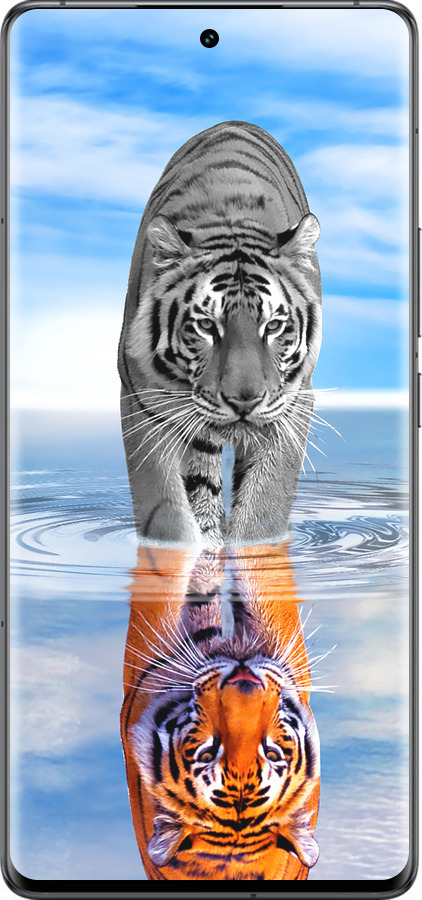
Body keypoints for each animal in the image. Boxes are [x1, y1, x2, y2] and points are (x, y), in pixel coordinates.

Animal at [118, 120, 322, 548]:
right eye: (206, 326)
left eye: (273, 326)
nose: (244, 401)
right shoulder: (142, 401)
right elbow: (166, 511)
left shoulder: (293, 404)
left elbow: (264, 509)